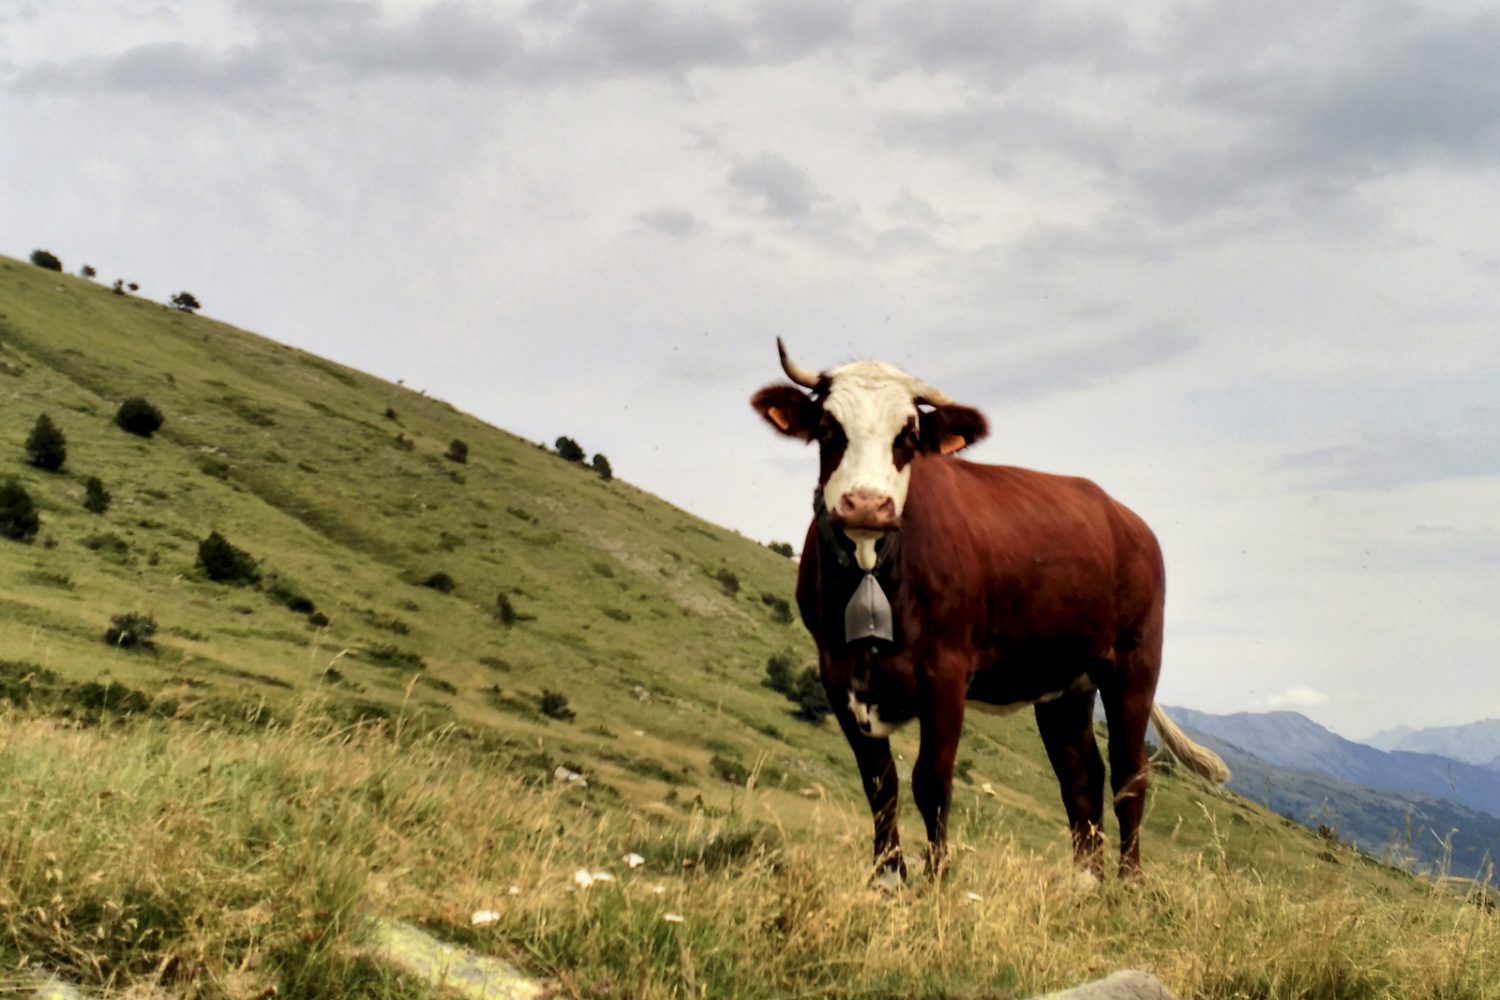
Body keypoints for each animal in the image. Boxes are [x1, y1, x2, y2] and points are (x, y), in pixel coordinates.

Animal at [750, 341, 1230, 881]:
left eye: (908, 435)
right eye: (829, 427)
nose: (867, 504)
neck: (873, 569)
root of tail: (1126, 519)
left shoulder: (945, 671)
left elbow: (931, 783)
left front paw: (936, 881)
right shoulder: (835, 671)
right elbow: (880, 784)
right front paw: (889, 878)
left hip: (1134, 662)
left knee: (1130, 775)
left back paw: (1129, 883)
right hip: (1064, 681)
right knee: (1081, 773)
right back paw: (1086, 882)